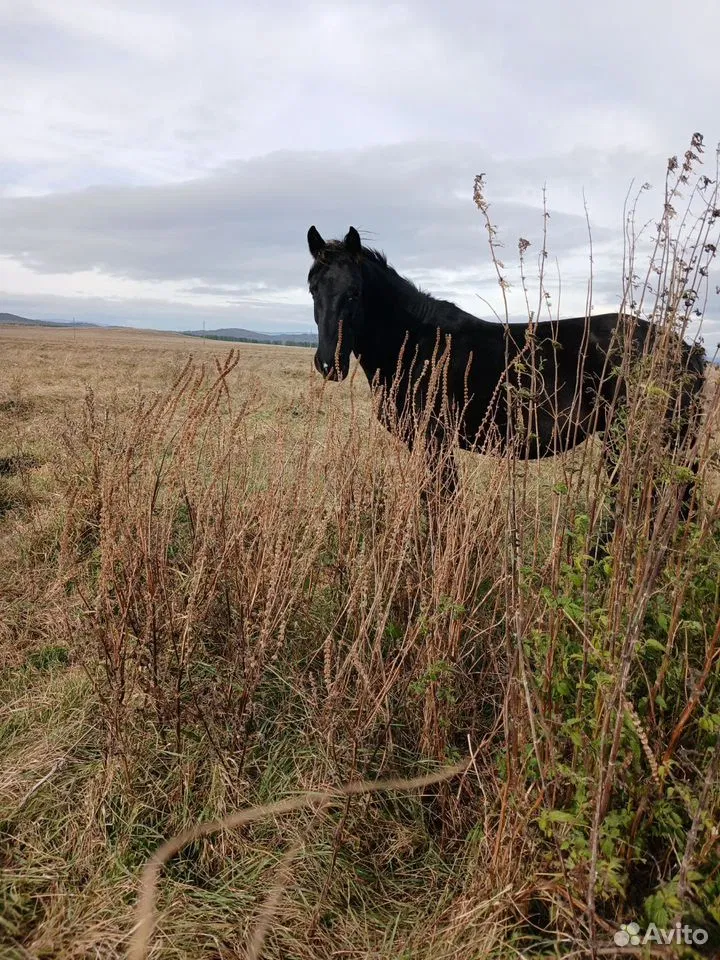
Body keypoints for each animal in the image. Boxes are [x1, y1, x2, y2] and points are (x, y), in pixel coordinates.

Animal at [306, 225, 705, 526]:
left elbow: (441, 505)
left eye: (355, 293)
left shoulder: (435, 441)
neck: (416, 343)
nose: (330, 364)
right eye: (313, 290)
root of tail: (687, 350)